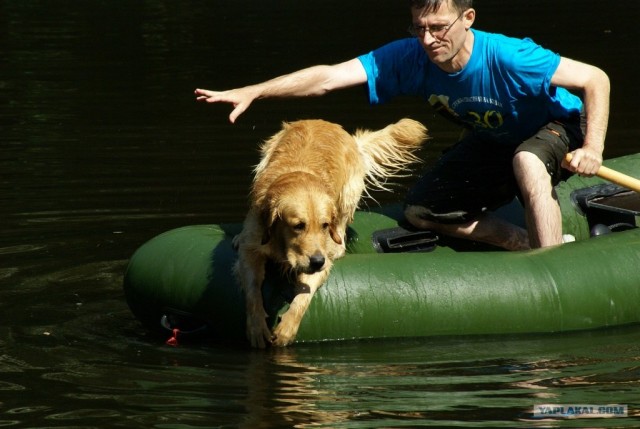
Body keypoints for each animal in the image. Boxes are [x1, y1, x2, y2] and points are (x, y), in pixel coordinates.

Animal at [232, 118, 428, 346]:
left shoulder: (322, 256)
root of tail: (328, 124)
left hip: (348, 196)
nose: (317, 261)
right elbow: (253, 289)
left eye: (324, 225)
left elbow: (304, 295)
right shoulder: (252, 247)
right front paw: (256, 327)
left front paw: (287, 327)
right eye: (298, 225)